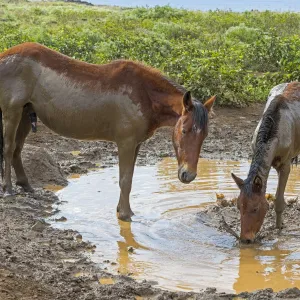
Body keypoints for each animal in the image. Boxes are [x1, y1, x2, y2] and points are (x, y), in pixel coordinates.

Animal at [0, 42, 216, 220]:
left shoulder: (136, 144)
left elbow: (129, 178)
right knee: (9, 148)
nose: (189, 175)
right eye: (185, 130)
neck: (145, 94)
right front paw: (125, 215)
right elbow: (125, 180)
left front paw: (123, 210)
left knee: (18, 149)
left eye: (204, 135)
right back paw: (8, 189)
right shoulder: (126, 143)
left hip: (26, 113)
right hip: (12, 112)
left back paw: (26, 185)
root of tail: (5, 56)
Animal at [233, 82, 300, 244]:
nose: (245, 240)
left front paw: (279, 229)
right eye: (238, 207)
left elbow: (279, 202)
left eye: (255, 209)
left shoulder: (285, 165)